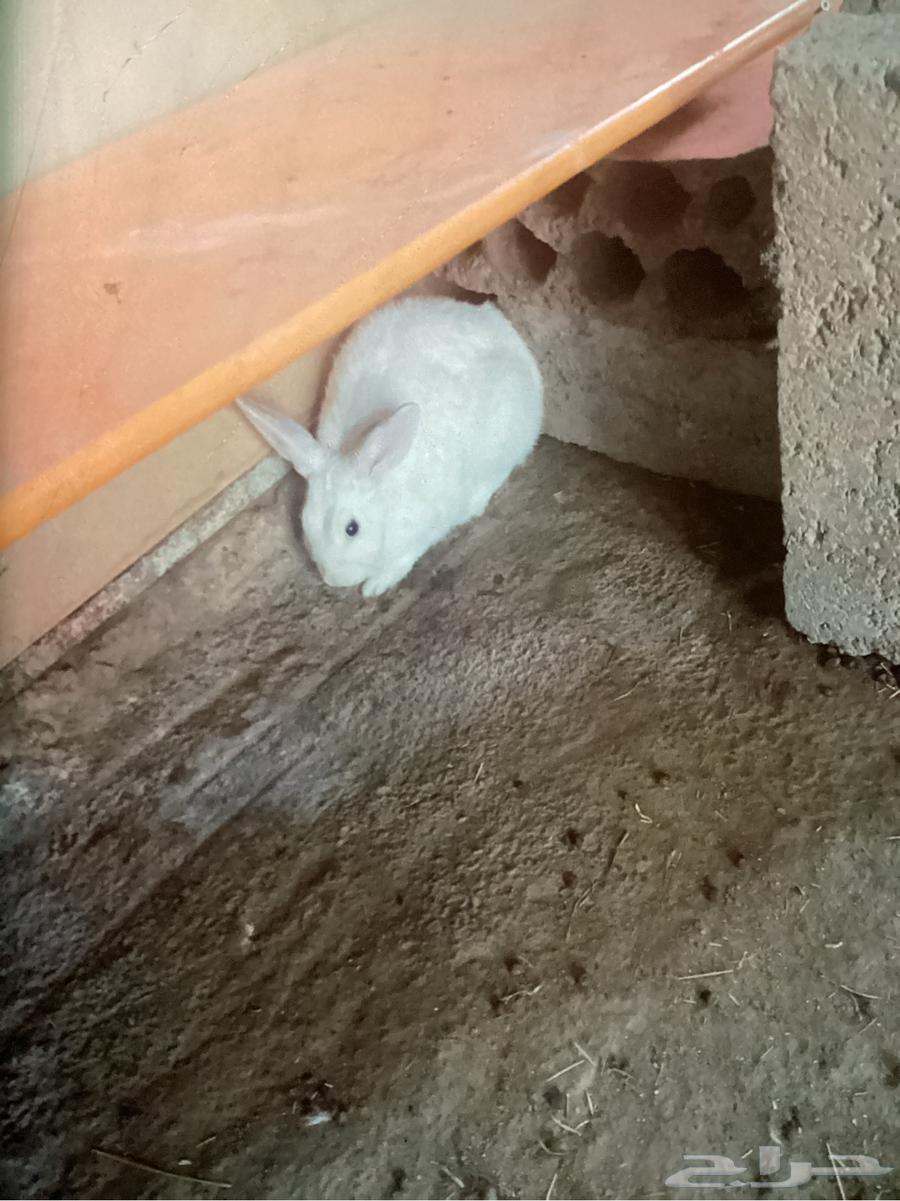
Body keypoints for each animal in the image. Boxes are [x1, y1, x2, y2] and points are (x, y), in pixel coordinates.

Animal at [236, 296, 543, 597]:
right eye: (304, 522)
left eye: (352, 529)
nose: (334, 580)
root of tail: (501, 328)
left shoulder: (424, 529)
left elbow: (404, 559)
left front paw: (375, 587)